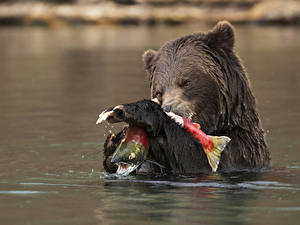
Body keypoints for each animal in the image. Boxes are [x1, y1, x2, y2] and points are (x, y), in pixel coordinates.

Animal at [102, 20, 270, 173]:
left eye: (186, 82)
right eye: (158, 91)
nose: (169, 108)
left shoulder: (241, 151)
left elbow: (194, 159)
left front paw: (137, 112)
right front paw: (115, 141)